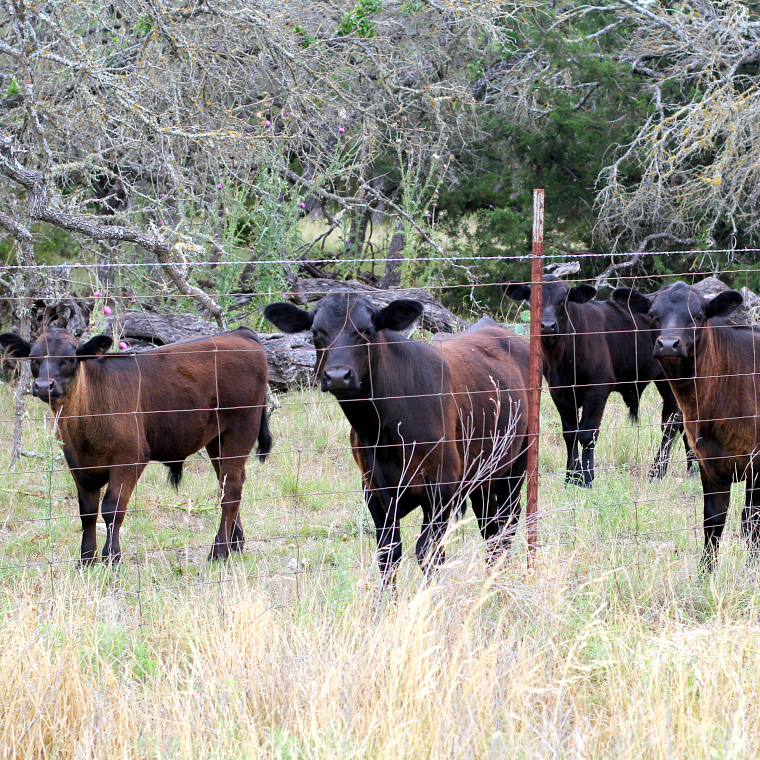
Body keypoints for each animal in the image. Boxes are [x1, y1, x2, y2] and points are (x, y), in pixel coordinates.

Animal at [0, 326, 270, 564]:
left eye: (70, 359)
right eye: (33, 358)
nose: (43, 386)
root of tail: (241, 333)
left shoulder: (129, 458)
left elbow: (112, 508)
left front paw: (111, 558)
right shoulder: (77, 462)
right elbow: (87, 511)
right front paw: (86, 560)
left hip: (242, 428)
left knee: (231, 490)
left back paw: (219, 551)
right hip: (217, 439)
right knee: (229, 482)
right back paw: (236, 543)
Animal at [264, 294, 532, 584]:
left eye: (368, 330)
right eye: (315, 332)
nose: (337, 376)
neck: (384, 435)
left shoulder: (441, 487)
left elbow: (428, 552)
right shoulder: (373, 490)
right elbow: (388, 554)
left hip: (517, 460)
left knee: (507, 521)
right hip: (482, 473)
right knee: (490, 526)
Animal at [504, 278, 696, 486]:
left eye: (563, 299)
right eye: (531, 299)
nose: (547, 326)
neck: (563, 358)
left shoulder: (597, 391)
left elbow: (587, 434)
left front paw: (586, 478)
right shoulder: (560, 393)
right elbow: (570, 434)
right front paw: (571, 477)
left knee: (672, 422)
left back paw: (657, 472)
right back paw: (691, 469)